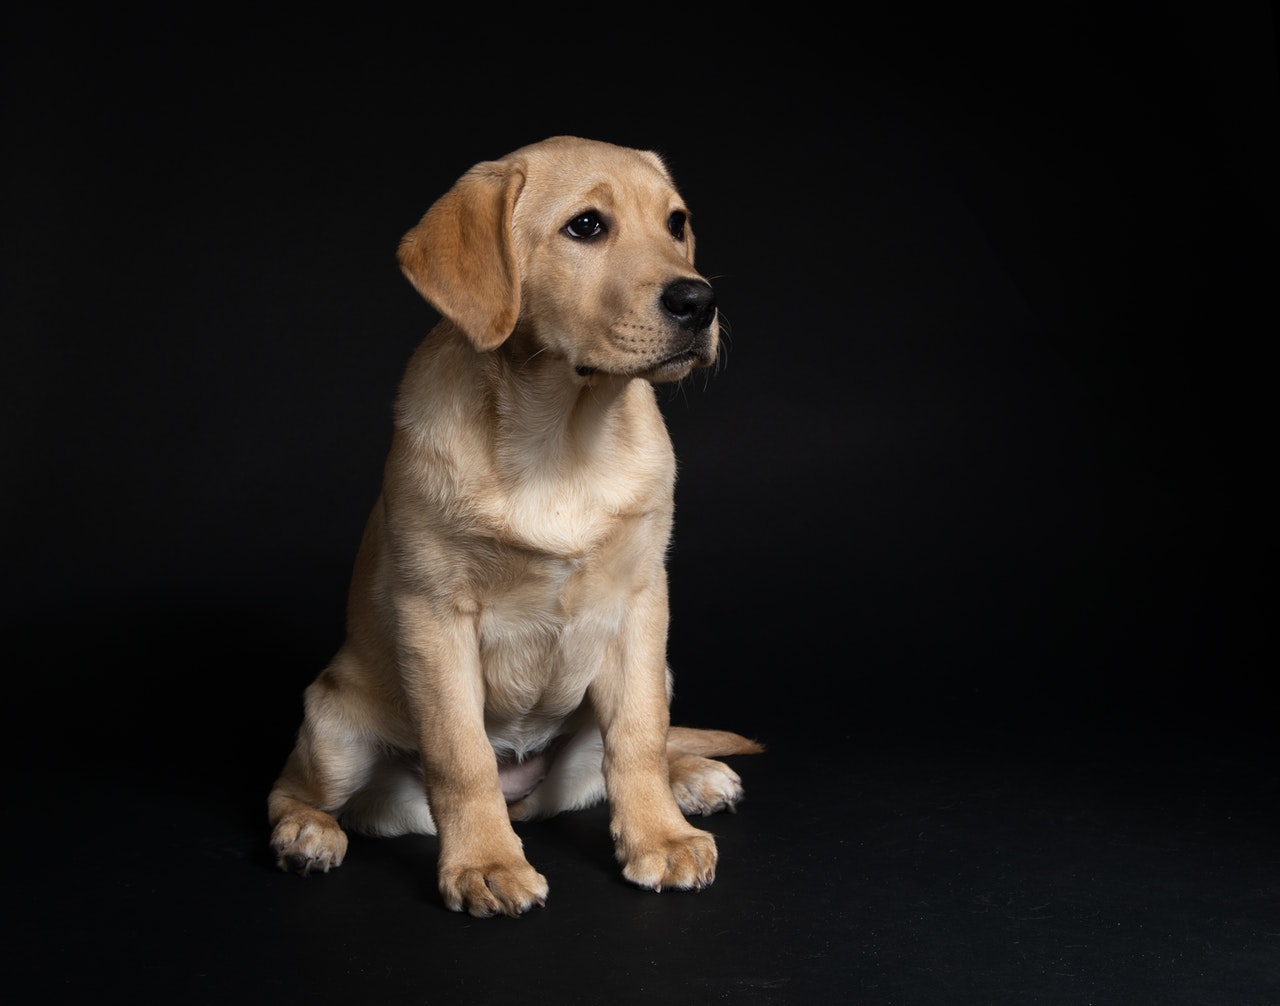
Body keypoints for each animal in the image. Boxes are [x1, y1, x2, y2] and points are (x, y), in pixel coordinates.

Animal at [263, 135, 752, 916]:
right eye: (586, 226)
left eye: (676, 223)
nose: (699, 300)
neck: (564, 436)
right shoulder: (435, 616)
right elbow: (461, 758)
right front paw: (486, 863)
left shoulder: (642, 602)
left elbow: (639, 735)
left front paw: (659, 836)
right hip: (334, 729)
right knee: (294, 790)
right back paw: (307, 834)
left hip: (654, 673)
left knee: (634, 746)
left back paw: (692, 775)